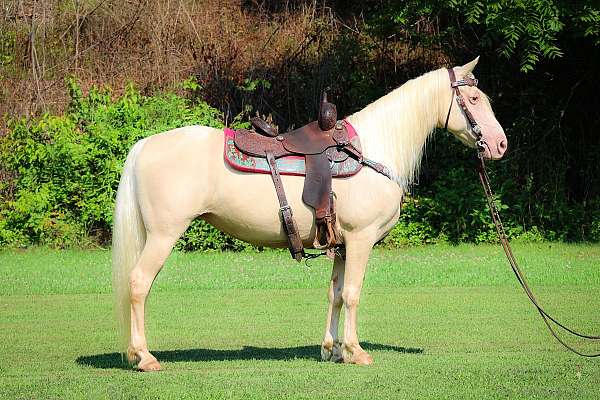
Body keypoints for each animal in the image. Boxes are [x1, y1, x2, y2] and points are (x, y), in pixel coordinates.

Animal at [111, 57, 506, 372]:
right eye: (473, 99)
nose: (500, 144)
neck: (373, 150)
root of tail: (144, 145)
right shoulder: (361, 239)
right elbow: (353, 293)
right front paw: (356, 352)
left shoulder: (342, 245)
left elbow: (335, 293)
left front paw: (332, 350)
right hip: (163, 235)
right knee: (138, 284)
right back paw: (144, 358)